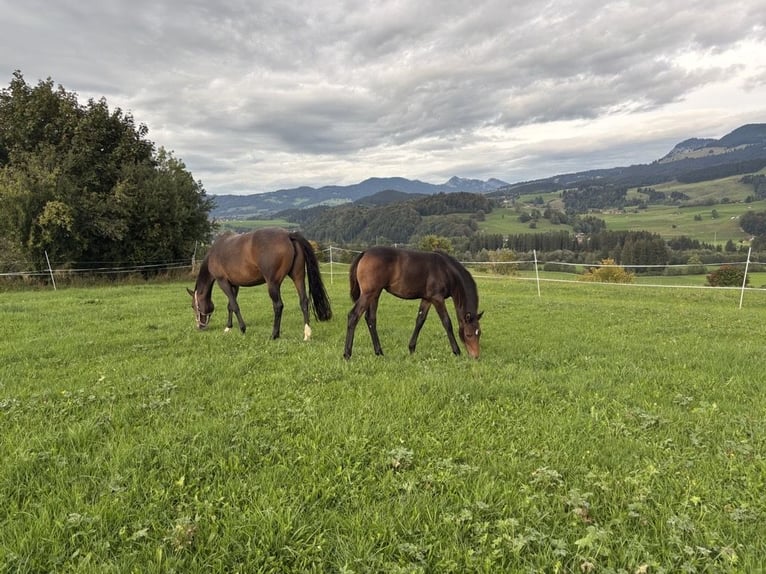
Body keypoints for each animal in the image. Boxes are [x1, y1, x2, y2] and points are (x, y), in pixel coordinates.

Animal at [187, 228, 332, 340]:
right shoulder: (235, 285)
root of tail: (288, 235)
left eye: (193, 306)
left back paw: (274, 335)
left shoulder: (223, 282)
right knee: (304, 302)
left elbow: (234, 305)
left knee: (278, 305)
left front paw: (242, 328)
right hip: (298, 277)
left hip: (273, 283)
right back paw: (307, 334)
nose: (200, 326)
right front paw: (228, 328)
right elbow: (230, 306)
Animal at [343, 246, 483, 359]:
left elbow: (420, 321)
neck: (446, 270)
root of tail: (364, 253)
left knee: (371, 319)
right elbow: (447, 322)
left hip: (375, 294)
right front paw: (457, 351)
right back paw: (347, 354)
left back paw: (379, 352)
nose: (475, 356)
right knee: (353, 316)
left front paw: (411, 349)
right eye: (468, 334)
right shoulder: (437, 298)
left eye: (479, 333)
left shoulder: (427, 299)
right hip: (368, 294)